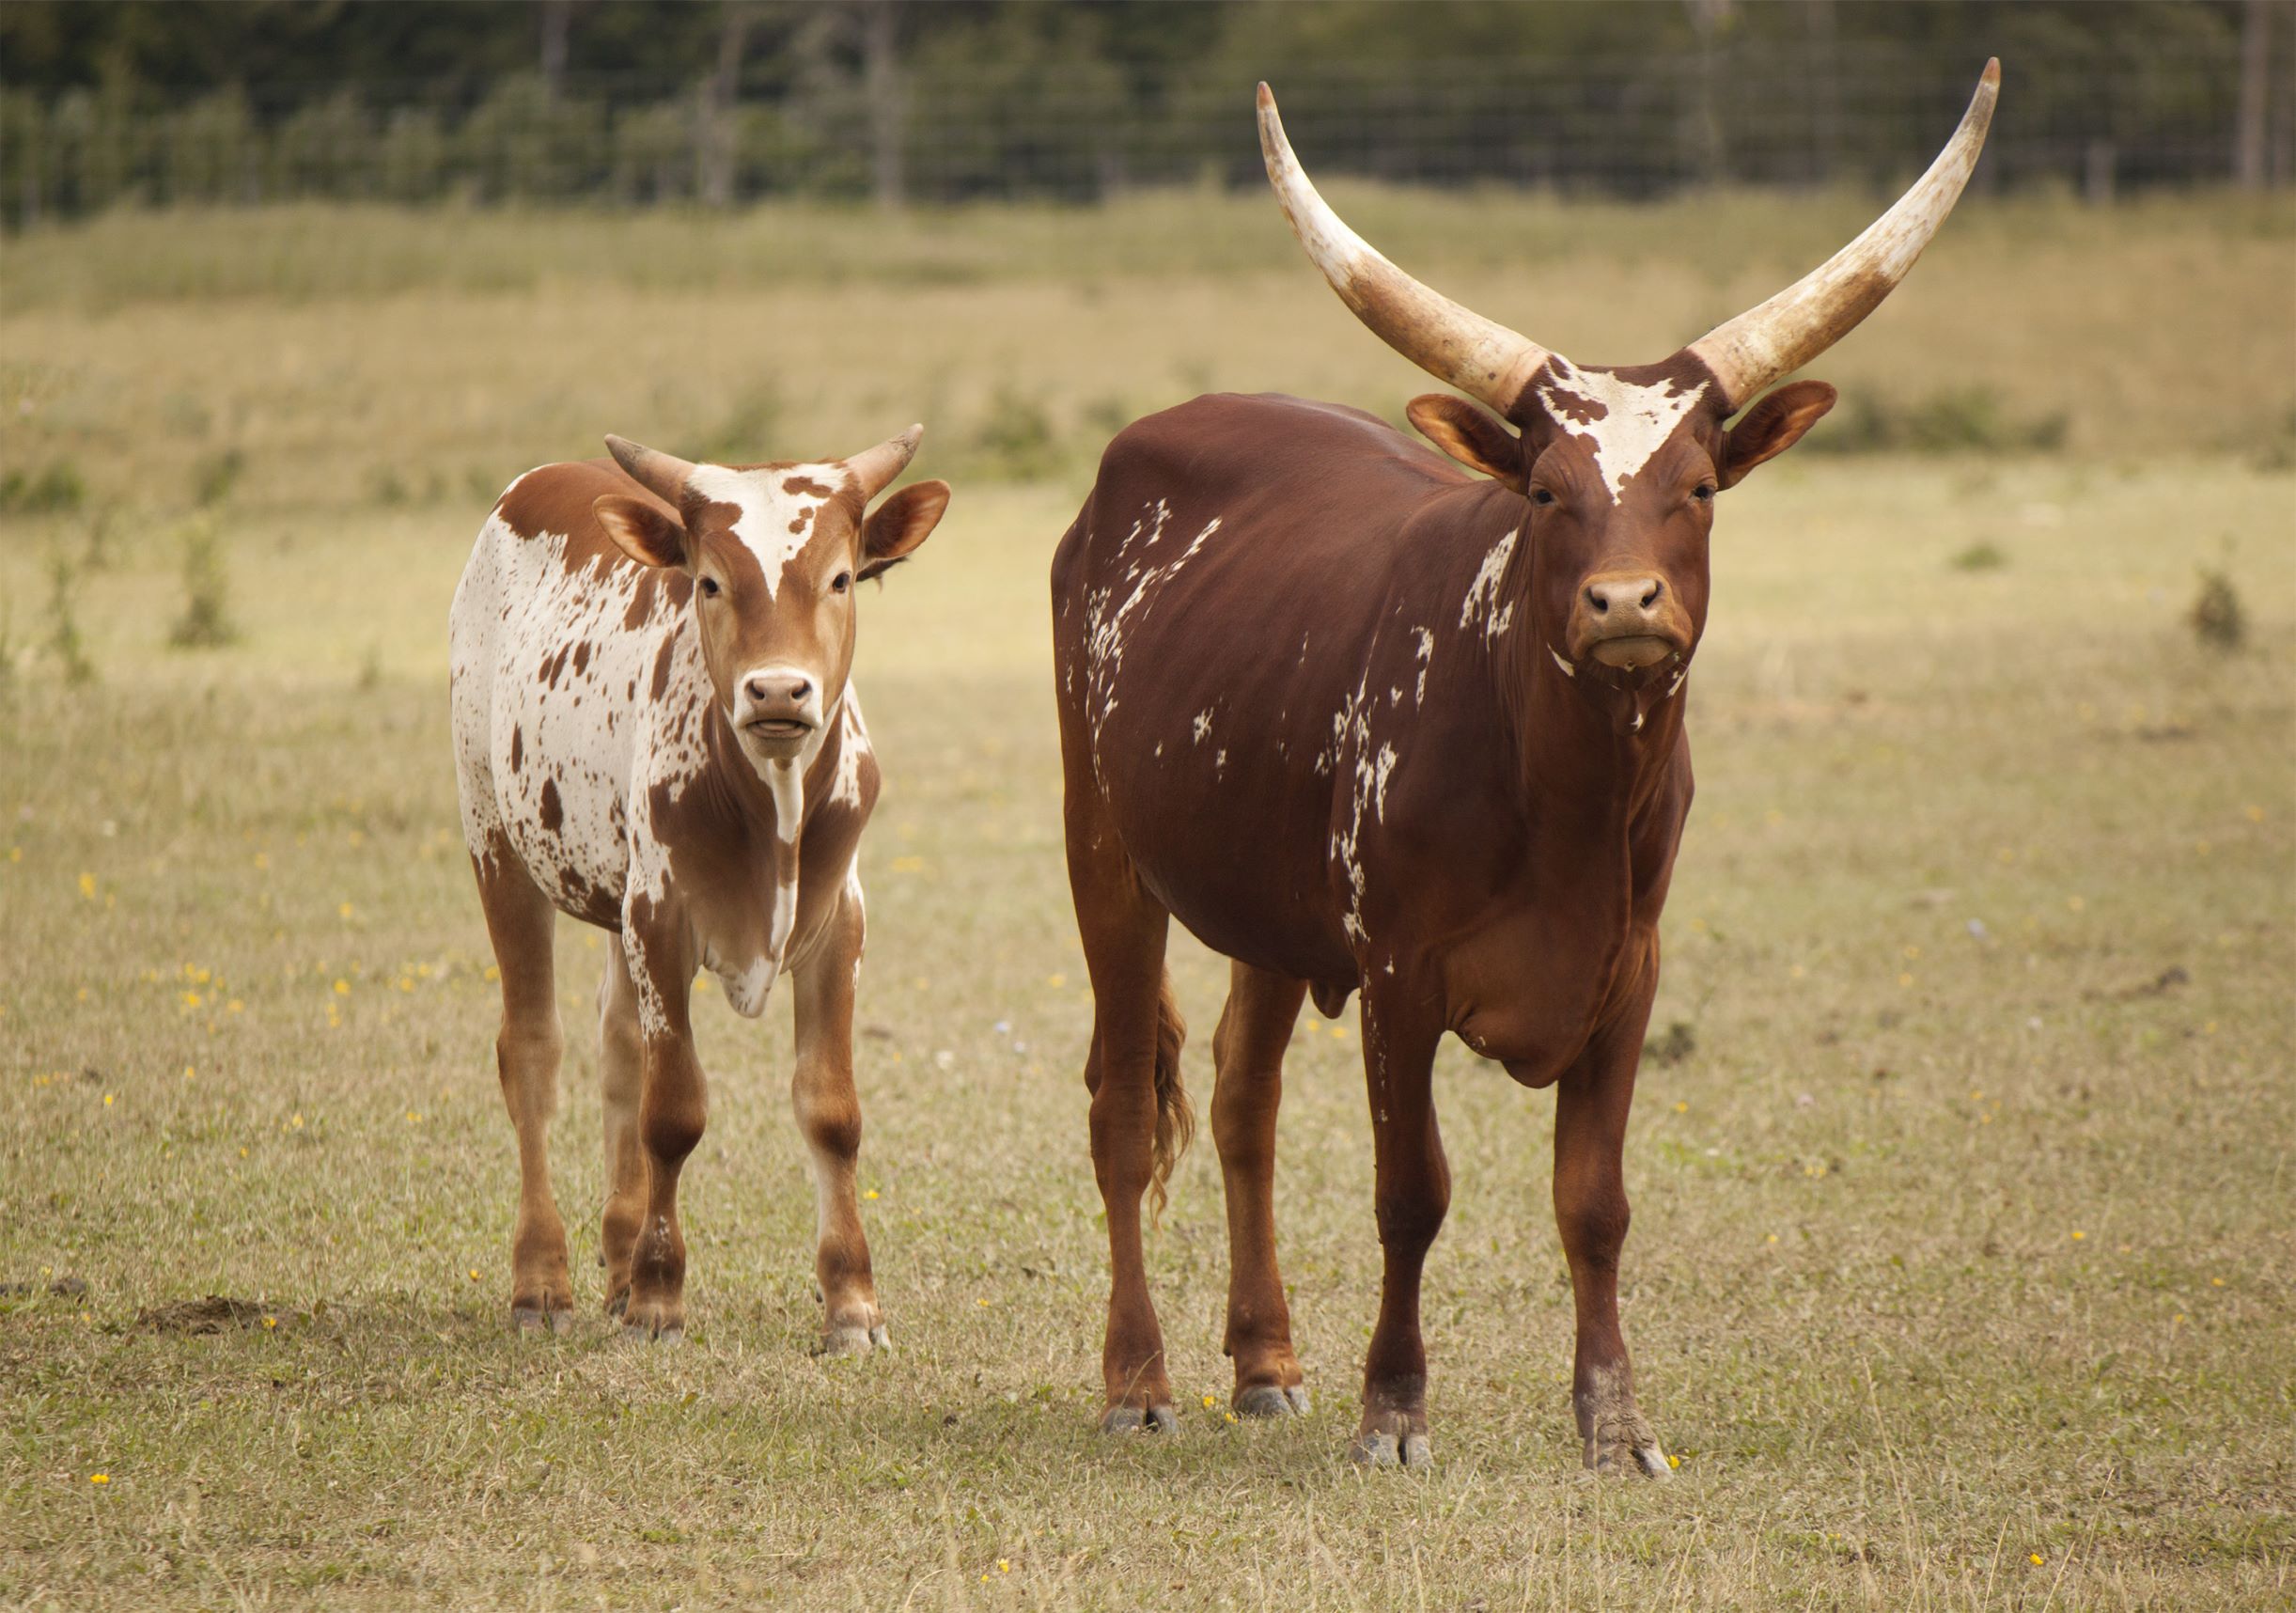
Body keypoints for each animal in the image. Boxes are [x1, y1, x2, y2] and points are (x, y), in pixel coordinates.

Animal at [447, 430, 950, 1351]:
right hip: (495, 842)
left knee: (617, 1048)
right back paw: (543, 1277)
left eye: (839, 577)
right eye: (709, 582)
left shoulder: (838, 926)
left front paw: (851, 1304)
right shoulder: (660, 920)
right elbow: (673, 1111)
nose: (778, 690)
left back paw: (615, 1259)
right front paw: (658, 1298)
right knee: (532, 1052)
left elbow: (831, 1112)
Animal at [1051, 66, 2002, 1480]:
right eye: (1547, 492)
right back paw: (1136, 1380)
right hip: (1104, 854)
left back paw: (1267, 1365)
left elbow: (1593, 1203)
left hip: (1270, 911)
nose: (1624, 603)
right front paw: (1394, 1413)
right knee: (1125, 1106)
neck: (1562, 799)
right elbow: (1411, 1195)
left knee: (1238, 1102)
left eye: (1700, 486)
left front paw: (1615, 1424)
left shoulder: (1628, 971)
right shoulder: (1396, 976)